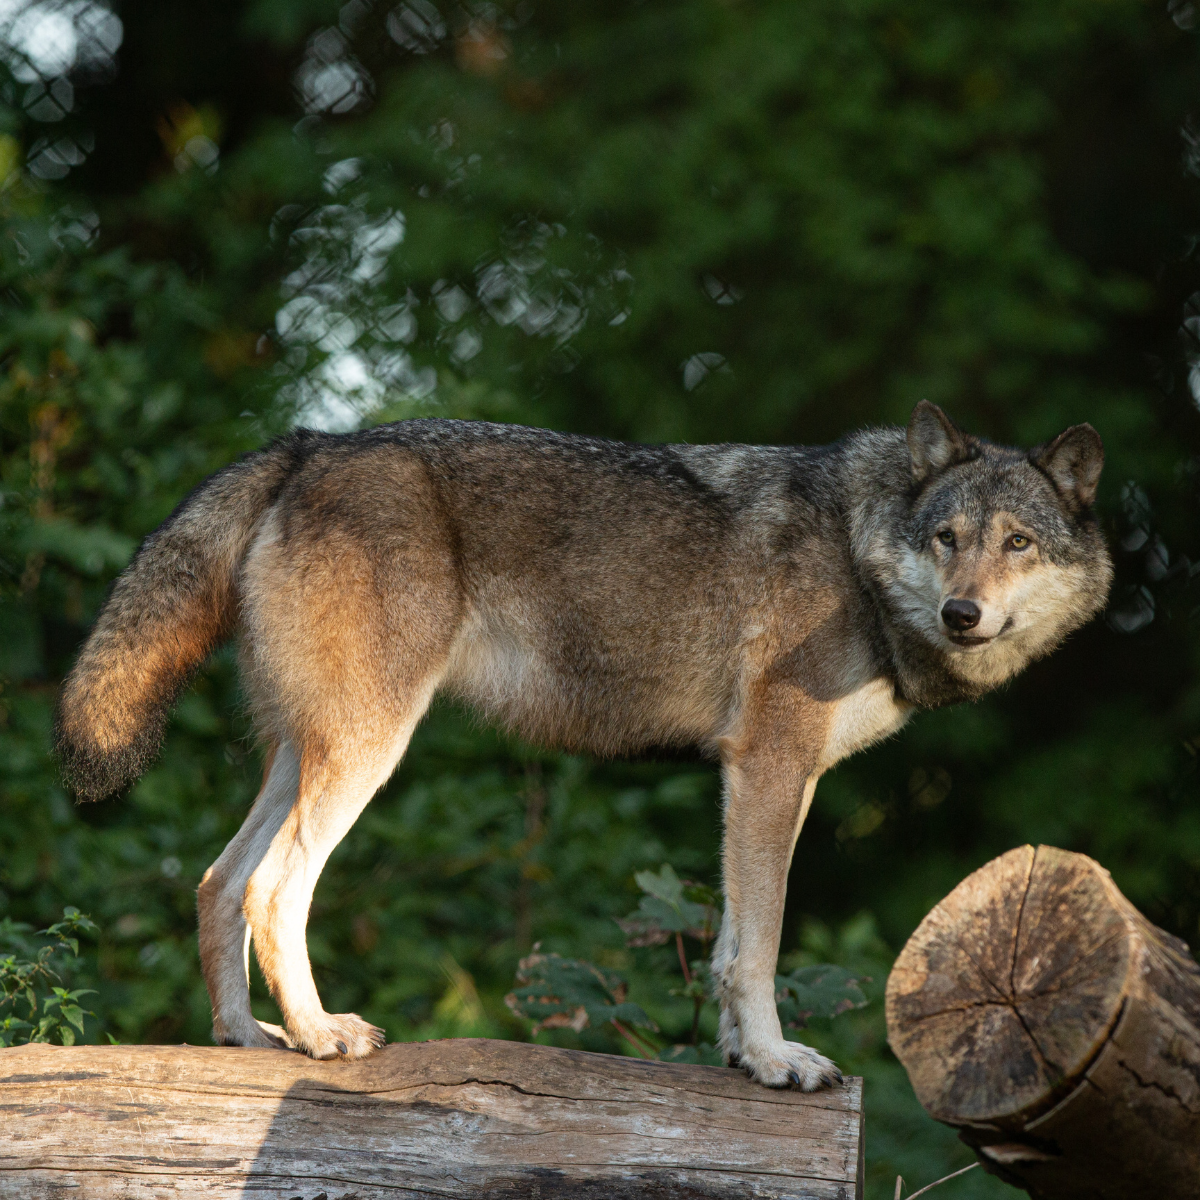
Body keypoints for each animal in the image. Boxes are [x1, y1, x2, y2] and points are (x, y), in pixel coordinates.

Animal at [55, 401, 1111, 1089]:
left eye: (1018, 543)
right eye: (947, 537)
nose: (963, 613)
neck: (859, 550)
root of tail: (311, 444)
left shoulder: (769, 780)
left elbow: (729, 942)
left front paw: (741, 1056)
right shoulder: (768, 767)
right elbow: (760, 943)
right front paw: (776, 1062)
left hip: (303, 754)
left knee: (217, 881)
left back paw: (246, 1041)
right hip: (367, 753)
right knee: (274, 886)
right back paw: (319, 1036)